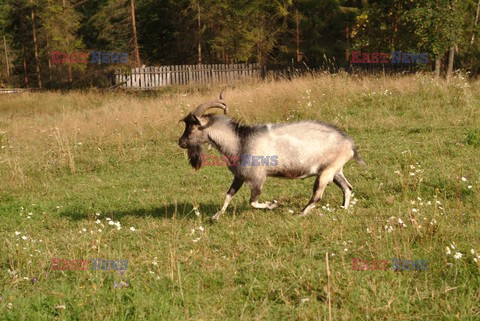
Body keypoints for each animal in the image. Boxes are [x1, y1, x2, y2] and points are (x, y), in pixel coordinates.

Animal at [178, 90, 366, 220]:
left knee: (317, 196)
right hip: (335, 170)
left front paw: (273, 204)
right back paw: (343, 209)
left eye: (192, 127)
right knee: (347, 187)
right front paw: (215, 217)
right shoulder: (239, 176)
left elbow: (253, 201)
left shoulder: (258, 177)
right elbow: (228, 194)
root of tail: (349, 143)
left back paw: (300, 214)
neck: (239, 141)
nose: (181, 142)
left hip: (326, 172)